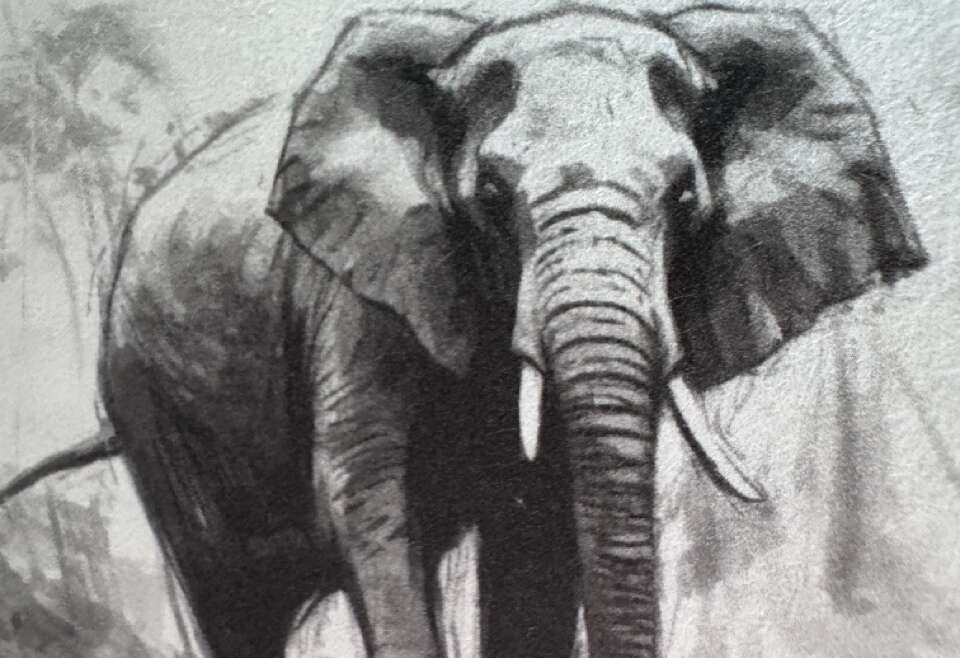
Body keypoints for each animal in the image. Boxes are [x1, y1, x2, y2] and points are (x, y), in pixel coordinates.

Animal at [0, 4, 927, 658]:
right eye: (488, 196)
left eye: (686, 197)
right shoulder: (362, 290)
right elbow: (370, 501)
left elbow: (541, 530)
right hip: (154, 410)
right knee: (234, 601)